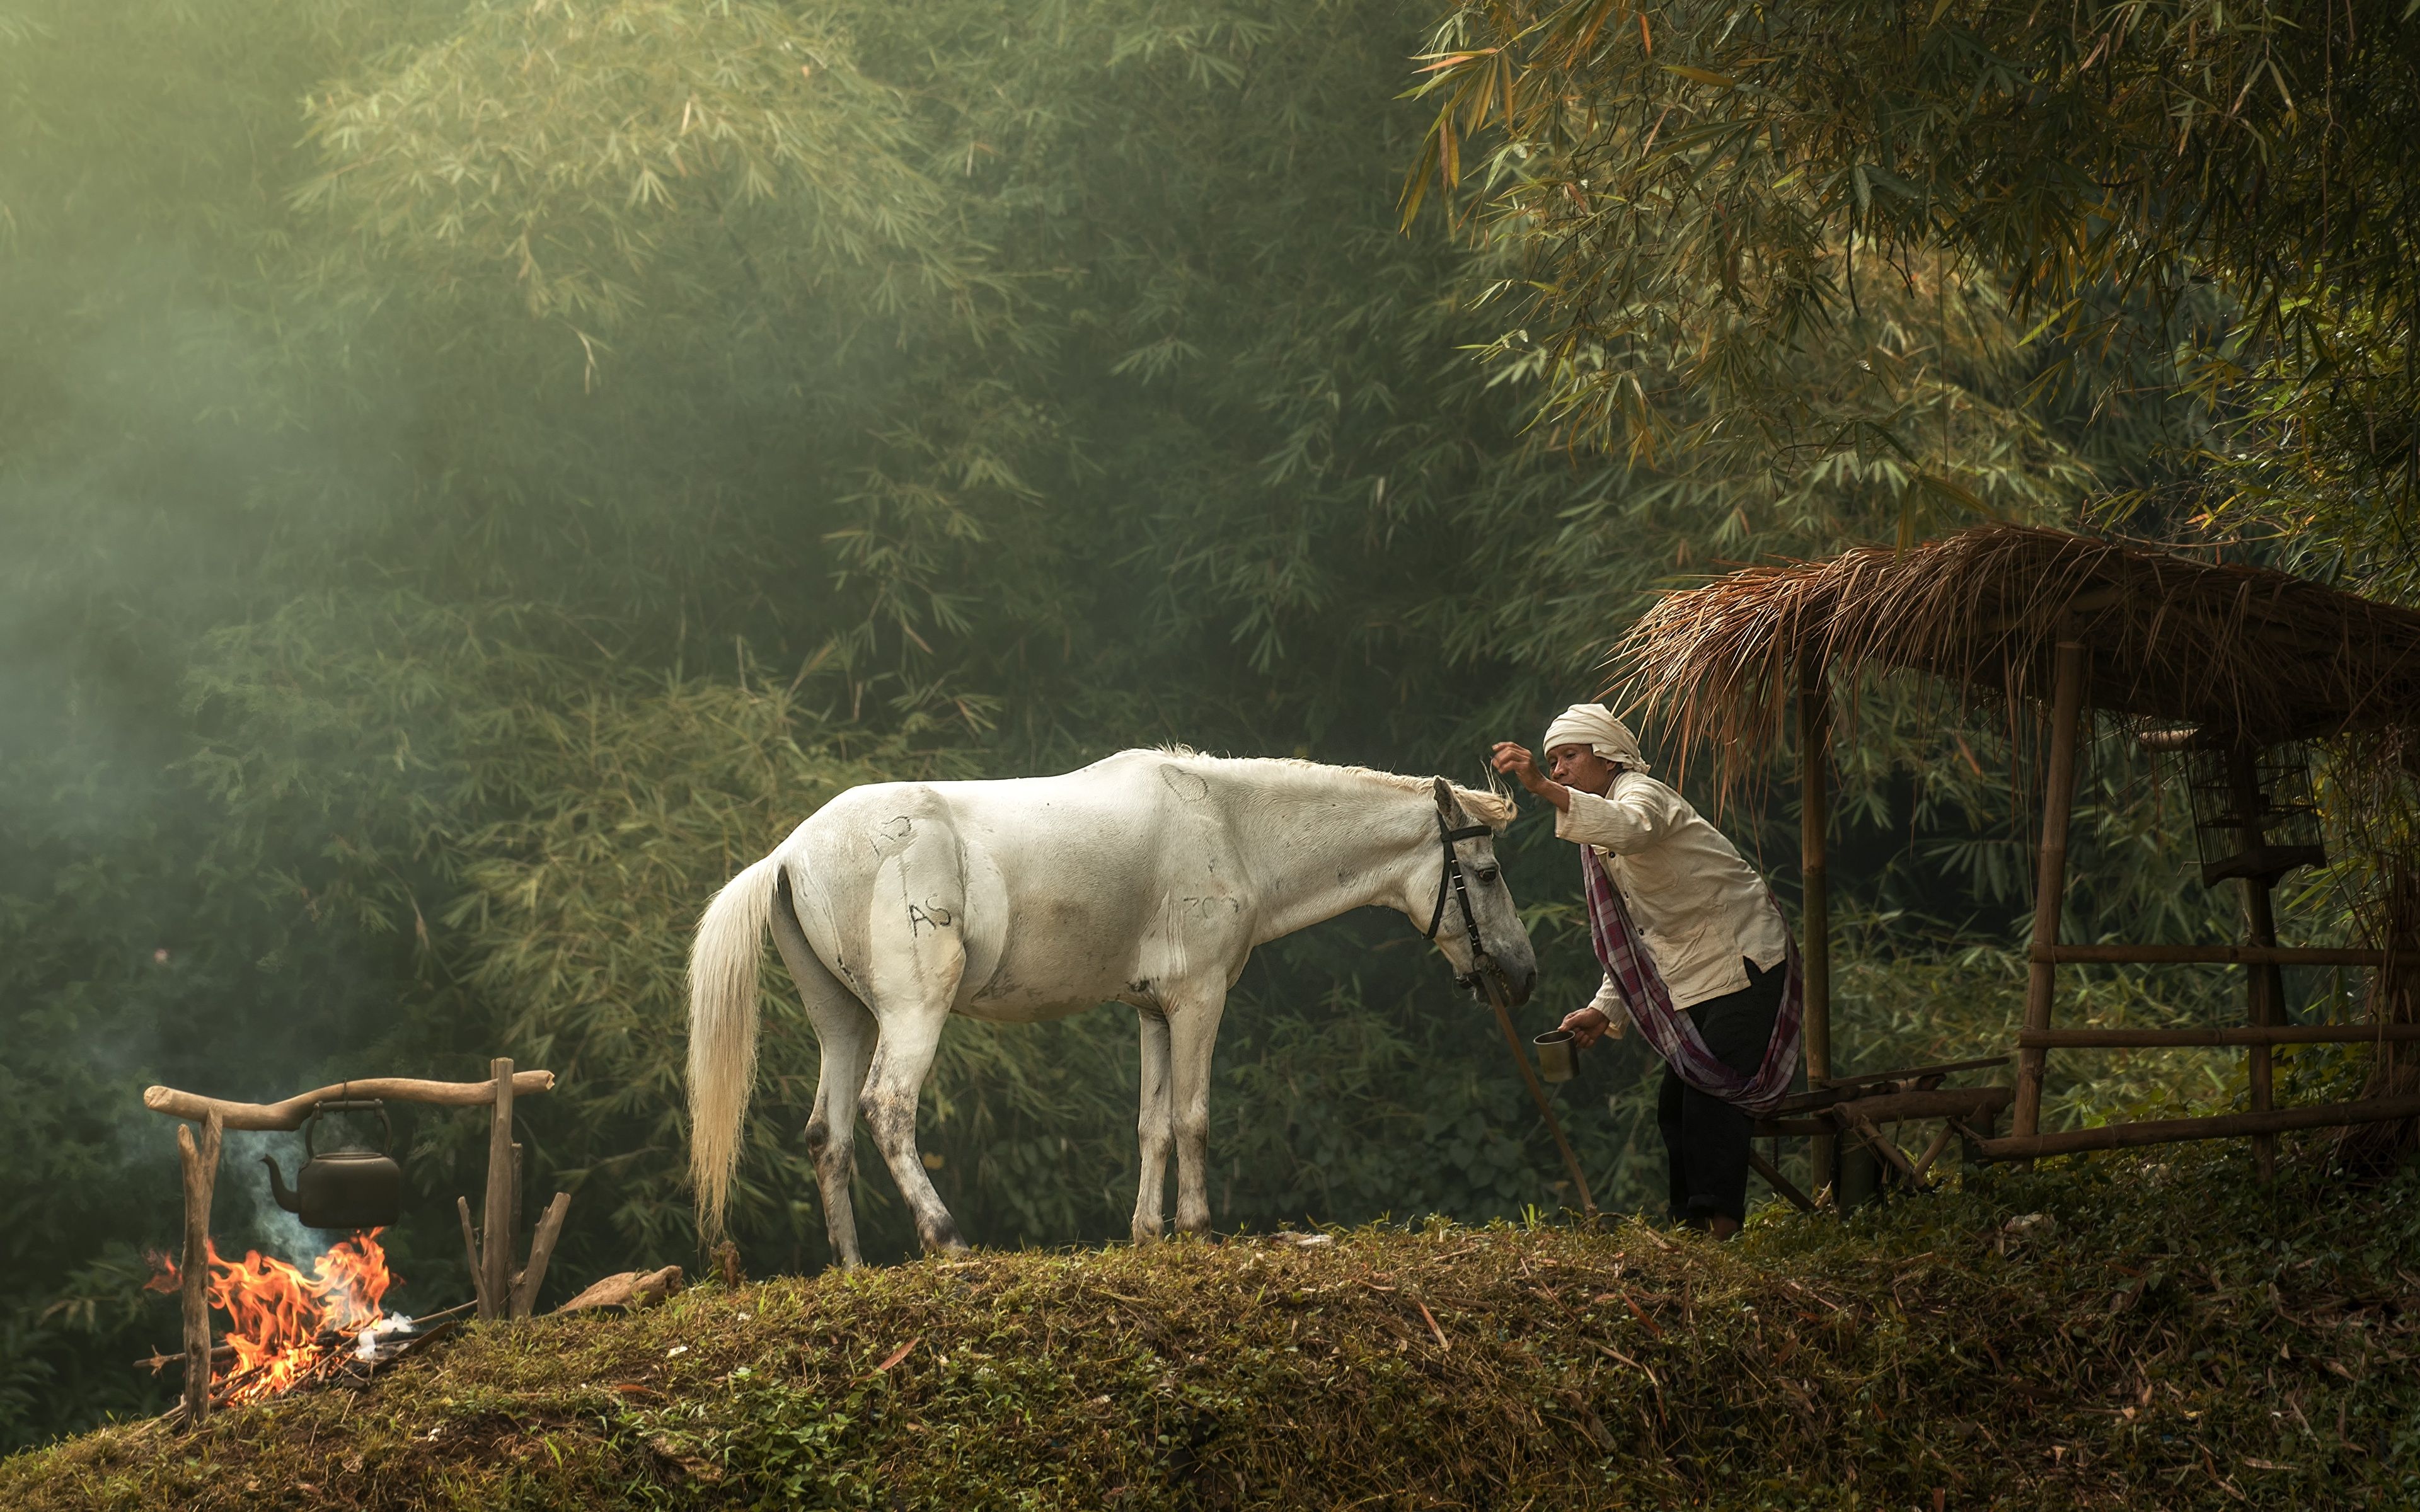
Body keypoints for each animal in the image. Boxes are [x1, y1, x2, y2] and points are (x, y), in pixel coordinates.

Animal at [686, 749, 1536, 1266]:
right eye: (1487, 873)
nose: (1521, 976)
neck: (1228, 825)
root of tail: (790, 851)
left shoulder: (1154, 1013)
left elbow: (1152, 1125)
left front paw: (1147, 1235)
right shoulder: (1198, 1001)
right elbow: (1193, 1118)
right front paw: (1195, 1229)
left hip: (845, 1022)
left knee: (826, 1135)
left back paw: (855, 1266)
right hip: (910, 1014)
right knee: (888, 1109)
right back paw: (947, 1239)